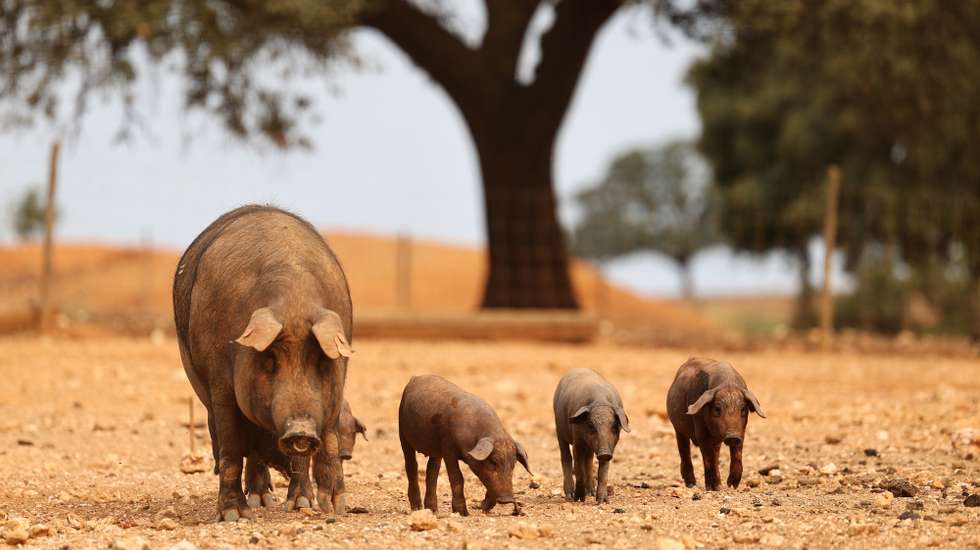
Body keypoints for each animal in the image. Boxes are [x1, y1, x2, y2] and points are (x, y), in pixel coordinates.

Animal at [173, 205, 354, 521]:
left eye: (320, 359)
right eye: (269, 358)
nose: (300, 429)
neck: (294, 302)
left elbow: (327, 442)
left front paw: (327, 506)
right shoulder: (221, 386)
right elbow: (232, 448)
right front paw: (234, 516)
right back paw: (258, 501)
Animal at [398, 375, 531, 516]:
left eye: (513, 464)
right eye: (493, 461)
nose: (507, 499)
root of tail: (415, 377)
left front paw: (483, 508)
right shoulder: (448, 447)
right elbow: (457, 477)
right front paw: (463, 513)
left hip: (435, 450)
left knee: (432, 471)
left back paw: (433, 511)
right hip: (402, 432)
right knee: (411, 466)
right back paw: (417, 508)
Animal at [553, 368, 630, 503]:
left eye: (615, 426)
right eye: (591, 425)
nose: (604, 453)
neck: (600, 401)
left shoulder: (611, 447)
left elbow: (603, 472)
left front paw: (602, 501)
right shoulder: (577, 440)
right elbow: (578, 468)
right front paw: (579, 499)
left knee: (588, 460)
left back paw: (591, 492)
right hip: (559, 432)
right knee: (566, 457)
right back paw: (570, 496)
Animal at [666, 357, 766, 491]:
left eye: (743, 409)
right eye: (717, 408)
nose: (732, 436)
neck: (727, 383)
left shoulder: (741, 432)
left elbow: (737, 454)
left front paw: (732, 485)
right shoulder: (701, 431)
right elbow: (708, 458)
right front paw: (712, 488)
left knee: (716, 455)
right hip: (678, 430)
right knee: (685, 452)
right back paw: (692, 484)